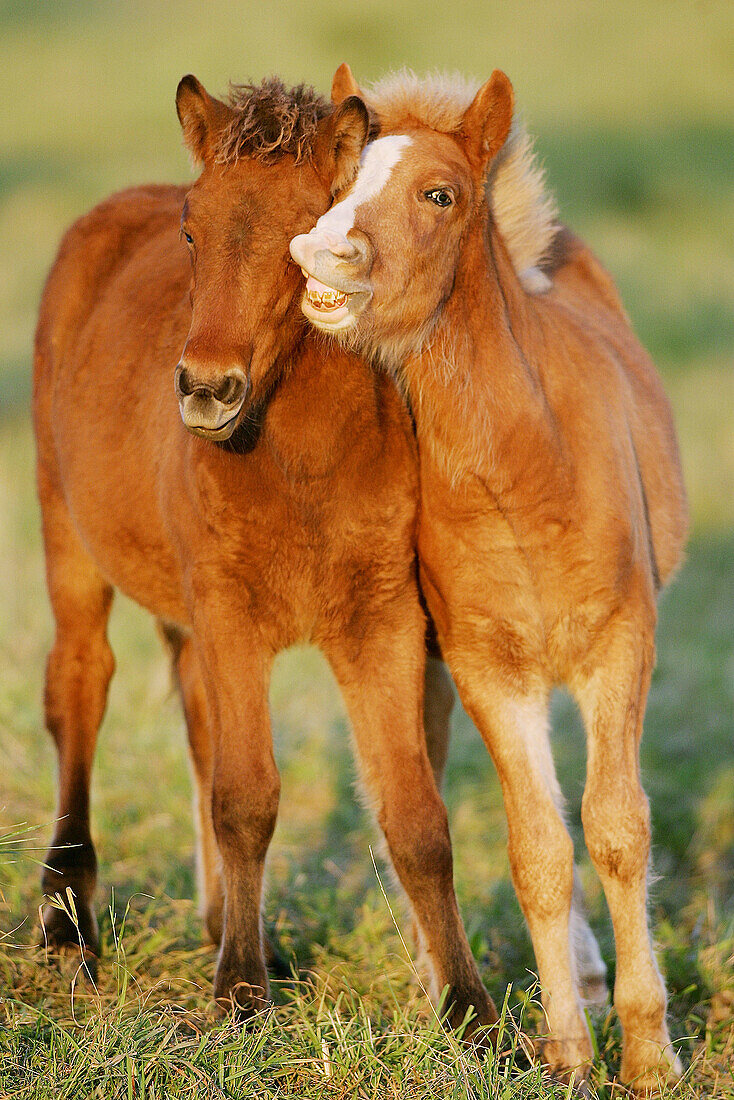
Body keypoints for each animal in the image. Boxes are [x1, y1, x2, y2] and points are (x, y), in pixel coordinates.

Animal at [34, 73, 497, 1025]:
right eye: (190, 230)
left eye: (303, 235)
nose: (207, 391)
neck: (304, 465)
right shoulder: (231, 613)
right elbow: (246, 797)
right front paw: (242, 992)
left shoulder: (381, 624)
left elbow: (416, 817)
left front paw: (471, 1011)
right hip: (68, 538)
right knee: (80, 689)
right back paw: (69, 928)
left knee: (195, 721)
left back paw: (218, 923)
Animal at [288, 68, 691, 1091]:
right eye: (337, 184)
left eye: (440, 195)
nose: (320, 251)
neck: (528, 472)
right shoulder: (486, 668)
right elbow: (538, 848)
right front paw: (567, 1054)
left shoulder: (619, 647)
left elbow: (618, 828)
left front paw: (651, 1057)